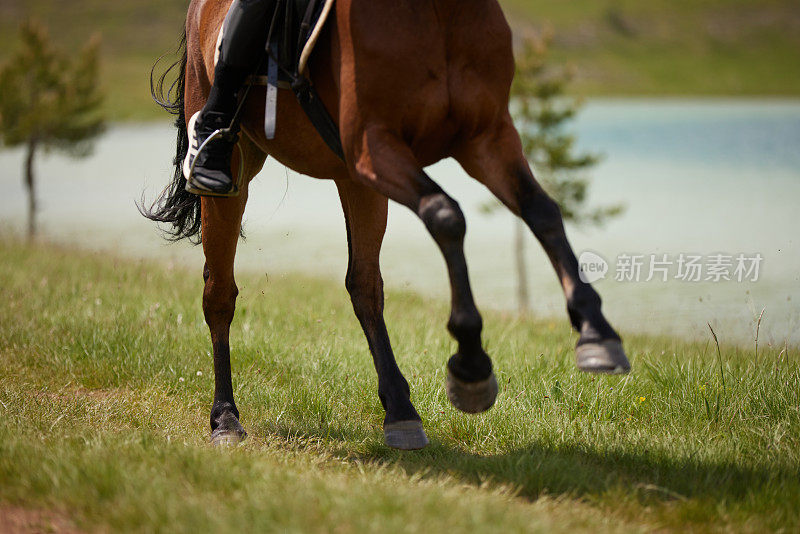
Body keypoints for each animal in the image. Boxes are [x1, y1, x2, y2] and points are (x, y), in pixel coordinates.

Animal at [145, 0, 632, 452]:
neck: (438, 13)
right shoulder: (377, 146)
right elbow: (446, 214)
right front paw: (470, 365)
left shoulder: (486, 138)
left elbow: (542, 210)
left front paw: (597, 334)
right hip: (235, 177)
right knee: (219, 294)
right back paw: (225, 419)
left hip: (356, 182)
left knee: (363, 285)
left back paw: (400, 410)